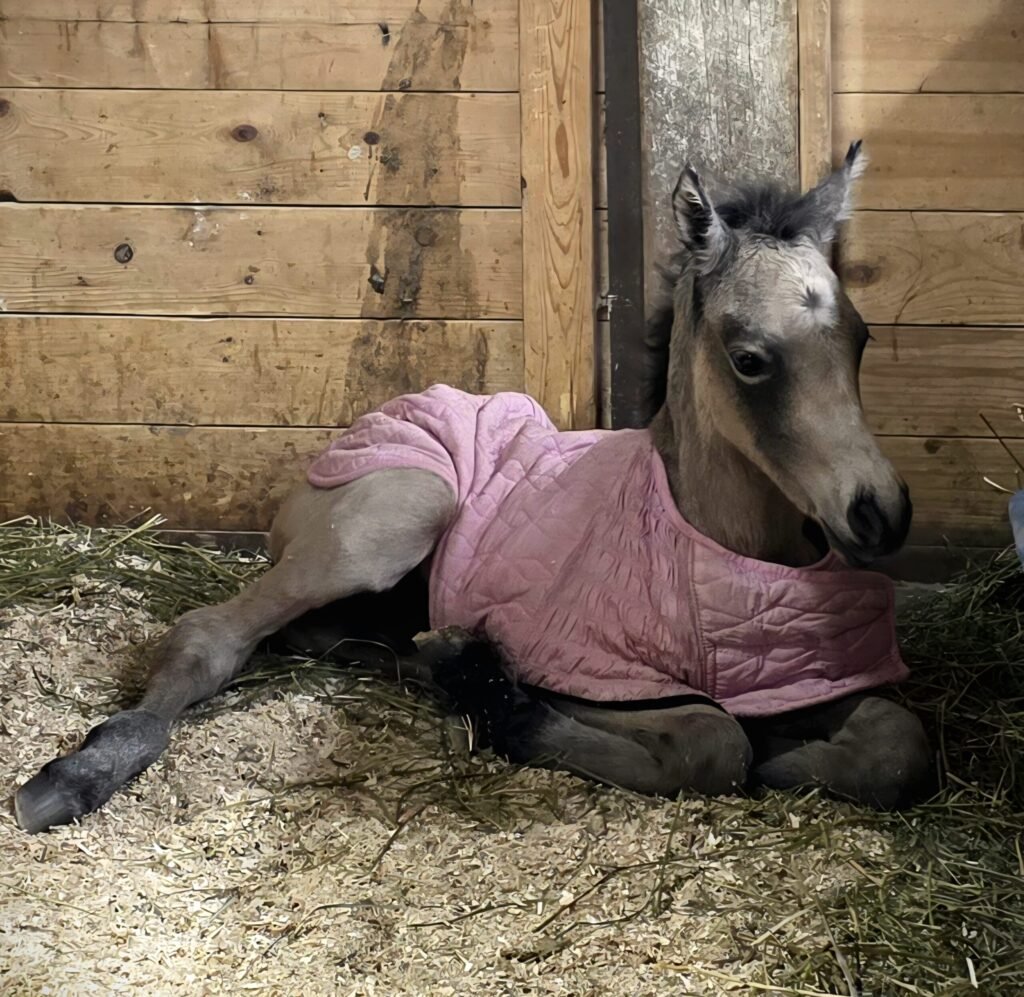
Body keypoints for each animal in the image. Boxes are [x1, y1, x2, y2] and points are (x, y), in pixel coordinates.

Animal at [13, 142, 935, 834]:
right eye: (749, 358)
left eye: (859, 336)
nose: (880, 512)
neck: (713, 541)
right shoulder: (593, 672)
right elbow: (714, 739)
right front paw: (508, 705)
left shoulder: (798, 680)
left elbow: (897, 740)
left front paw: (798, 760)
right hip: (395, 518)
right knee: (210, 633)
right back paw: (76, 775)